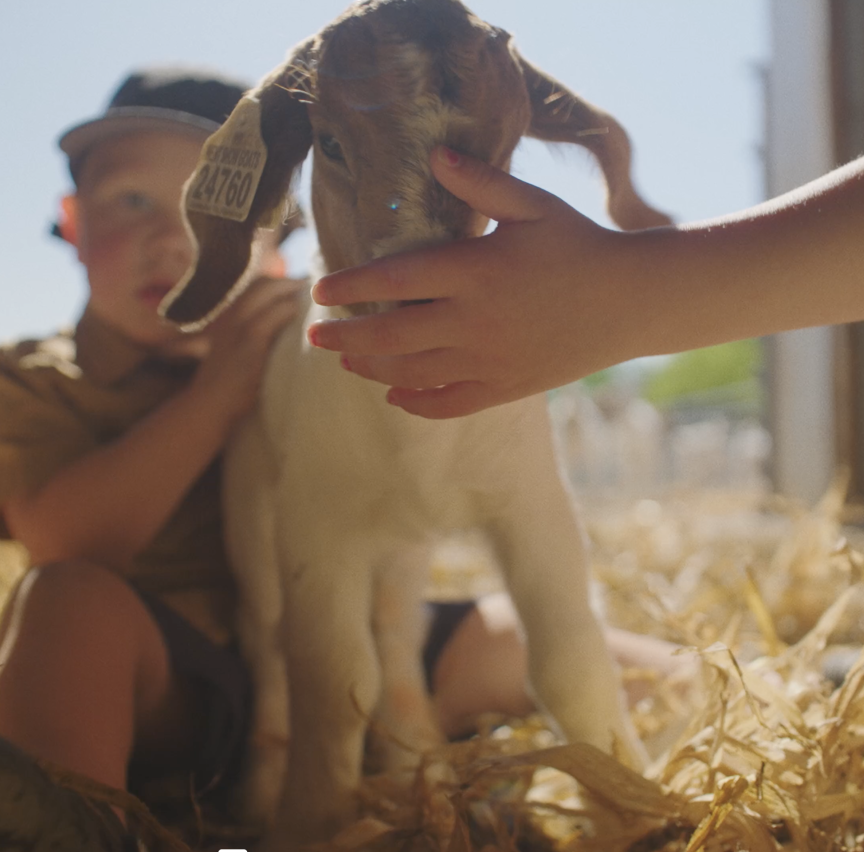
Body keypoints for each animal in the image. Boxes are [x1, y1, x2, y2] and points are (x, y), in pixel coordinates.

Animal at [162, 0, 671, 845]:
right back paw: (264, 792)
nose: (422, 297)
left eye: (502, 153)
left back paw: (412, 762)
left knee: (398, 635)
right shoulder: (317, 524)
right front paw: (311, 819)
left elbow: (568, 655)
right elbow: (330, 675)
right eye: (331, 143)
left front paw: (629, 799)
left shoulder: (533, 501)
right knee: (268, 643)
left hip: (403, 549)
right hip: (249, 511)